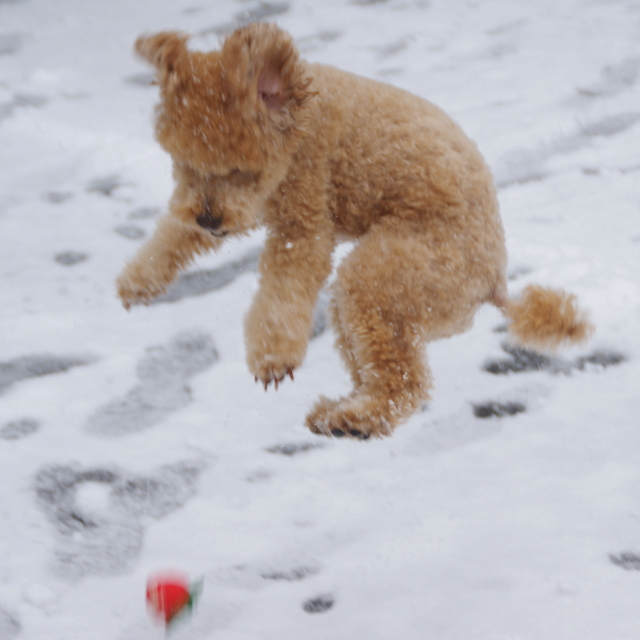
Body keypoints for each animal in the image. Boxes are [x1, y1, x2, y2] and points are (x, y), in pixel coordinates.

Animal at [117, 22, 592, 438]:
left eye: (240, 171)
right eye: (183, 163)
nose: (210, 221)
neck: (296, 122)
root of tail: (495, 283)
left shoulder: (304, 218)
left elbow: (283, 291)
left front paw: (273, 356)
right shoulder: (230, 207)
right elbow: (175, 234)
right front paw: (138, 280)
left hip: (395, 273)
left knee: (405, 383)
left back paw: (356, 419)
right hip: (386, 302)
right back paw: (342, 409)